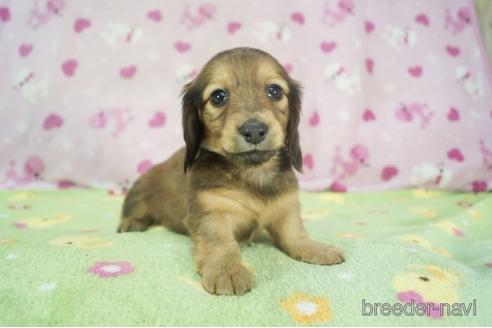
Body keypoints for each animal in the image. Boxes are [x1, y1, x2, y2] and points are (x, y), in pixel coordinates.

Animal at [117, 47, 344, 296]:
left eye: (274, 91)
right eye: (218, 96)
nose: (254, 131)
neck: (253, 174)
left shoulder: (286, 209)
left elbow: (295, 233)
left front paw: (316, 248)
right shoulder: (211, 212)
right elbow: (220, 242)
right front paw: (227, 269)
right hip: (138, 194)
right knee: (132, 210)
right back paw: (132, 223)